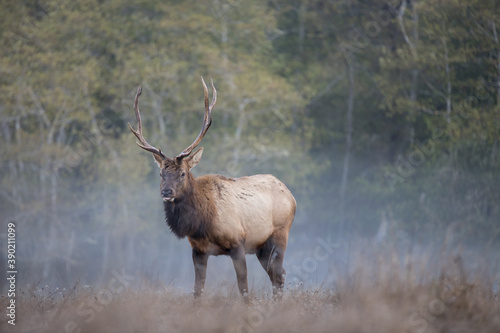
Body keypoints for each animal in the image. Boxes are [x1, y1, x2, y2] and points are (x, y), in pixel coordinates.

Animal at [127, 78, 296, 298]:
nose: (166, 192)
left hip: (279, 235)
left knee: (280, 275)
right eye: (161, 174)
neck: (203, 223)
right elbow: (197, 289)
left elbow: (243, 287)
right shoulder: (198, 250)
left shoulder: (238, 243)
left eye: (183, 173)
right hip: (261, 247)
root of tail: (291, 196)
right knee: (276, 275)